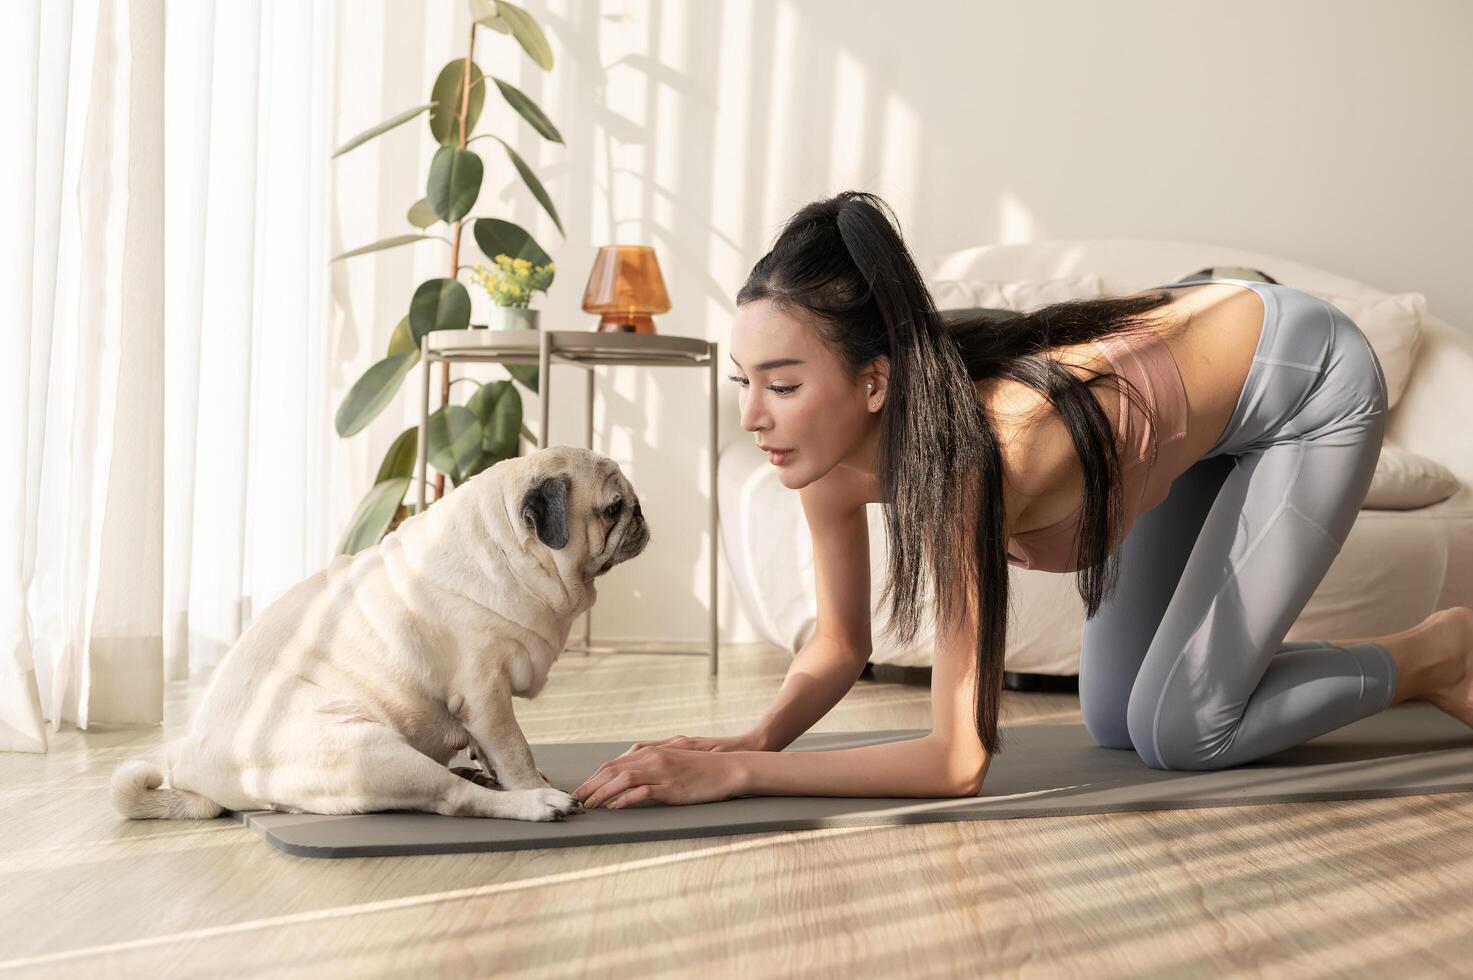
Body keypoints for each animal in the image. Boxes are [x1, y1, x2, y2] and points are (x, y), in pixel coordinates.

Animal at [109, 448, 651, 819]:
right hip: (371, 752)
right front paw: (530, 786)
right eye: (612, 507)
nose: (642, 513)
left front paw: (496, 768)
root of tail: (193, 768)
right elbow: (514, 750)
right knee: (454, 799)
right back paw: (531, 804)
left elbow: (494, 750)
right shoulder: (485, 695)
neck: (509, 550)